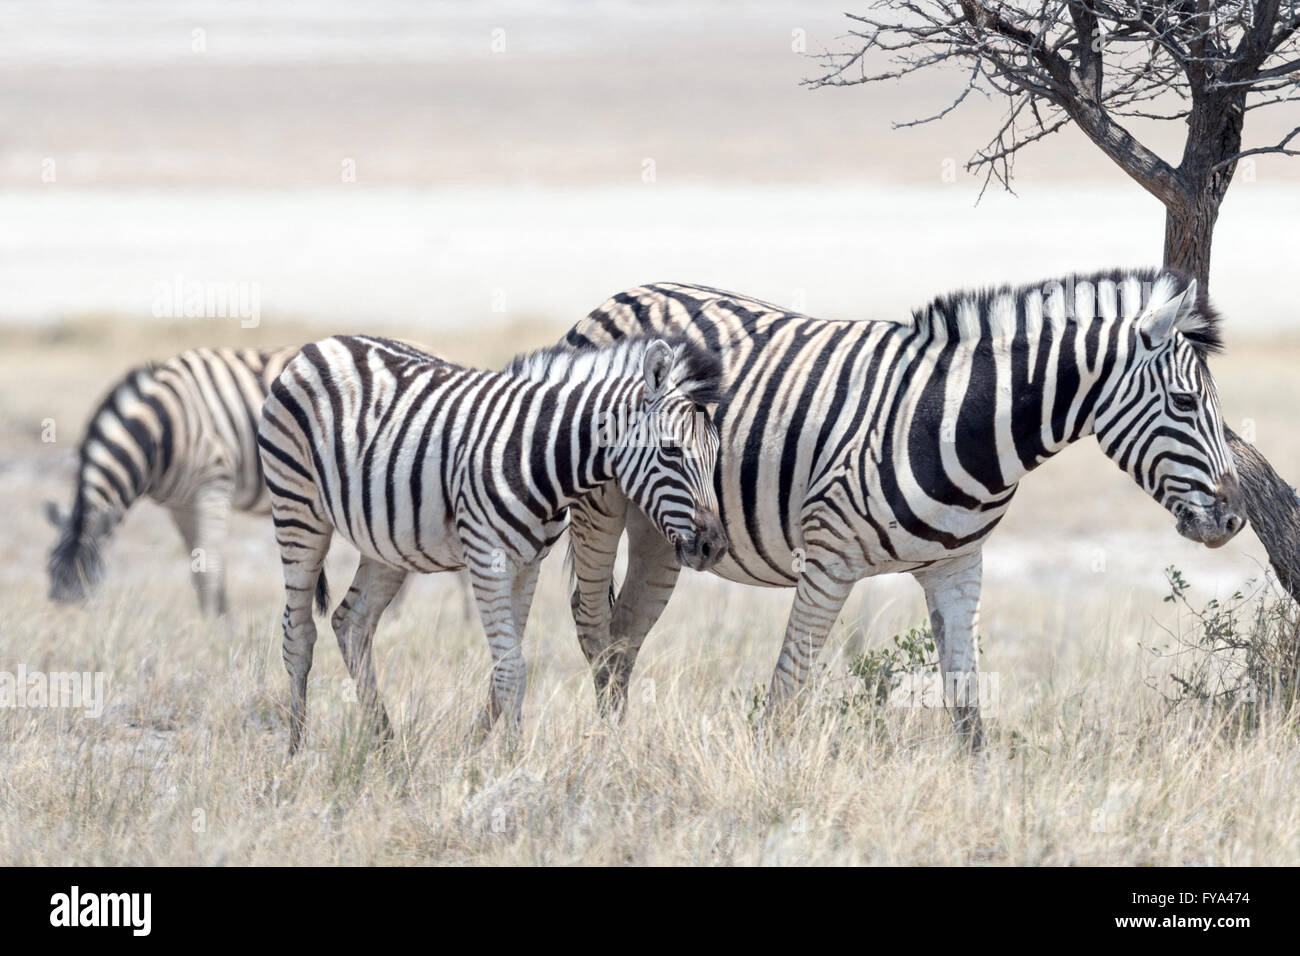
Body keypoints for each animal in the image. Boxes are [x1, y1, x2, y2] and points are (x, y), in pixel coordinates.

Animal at [45, 348, 299, 616]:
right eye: (49, 570)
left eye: (89, 580)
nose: (63, 621)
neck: (164, 425)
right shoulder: (181, 504)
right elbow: (200, 570)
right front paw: (218, 622)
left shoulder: (214, 485)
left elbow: (209, 568)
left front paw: (212, 626)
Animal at [250, 332, 722, 749]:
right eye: (671, 450)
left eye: (716, 455)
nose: (713, 547)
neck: (538, 455)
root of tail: (321, 345)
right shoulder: (487, 558)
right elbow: (512, 670)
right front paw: (511, 765)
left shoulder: (528, 564)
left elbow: (506, 666)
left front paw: (492, 753)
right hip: (297, 508)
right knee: (298, 634)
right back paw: (296, 751)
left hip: (386, 541)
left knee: (351, 623)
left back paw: (385, 747)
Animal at [564, 267, 1242, 749]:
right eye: (1185, 402)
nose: (1234, 519)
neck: (959, 421)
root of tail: (625, 292)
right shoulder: (827, 561)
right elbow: (788, 688)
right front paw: (769, 780)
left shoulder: (958, 567)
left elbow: (966, 707)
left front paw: (979, 799)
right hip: (600, 508)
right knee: (592, 622)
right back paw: (606, 753)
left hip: (665, 528)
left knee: (624, 636)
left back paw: (619, 745)